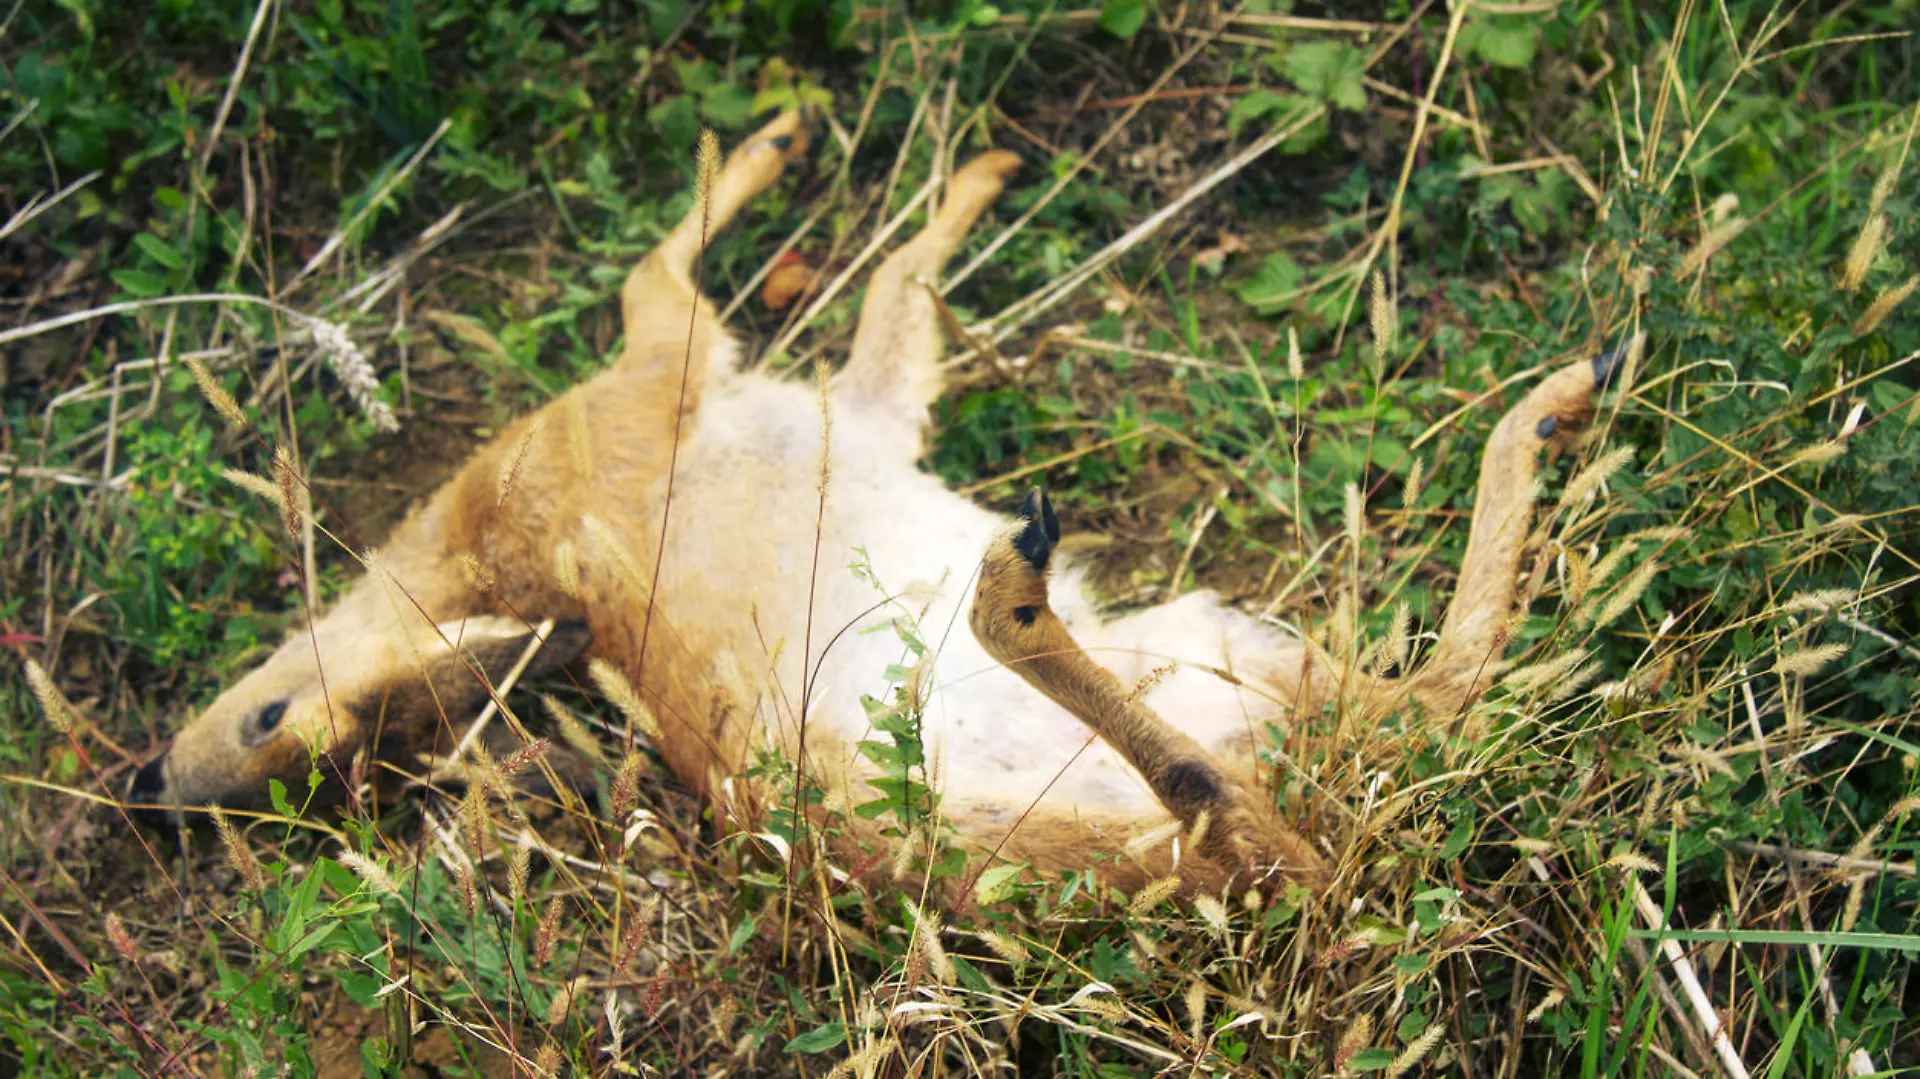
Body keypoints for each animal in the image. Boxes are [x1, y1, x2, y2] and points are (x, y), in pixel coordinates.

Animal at [126, 109, 1626, 893]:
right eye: (273, 729)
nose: (150, 786)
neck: (497, 559)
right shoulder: (669, 372)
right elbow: (679, 264)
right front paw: (787, 144)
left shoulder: (804, 397)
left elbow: (894, 287)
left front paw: (957, 168)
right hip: (1205, 694)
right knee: (1289, 763)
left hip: (1238, 655)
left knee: (1403, 706)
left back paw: (1562, 394)